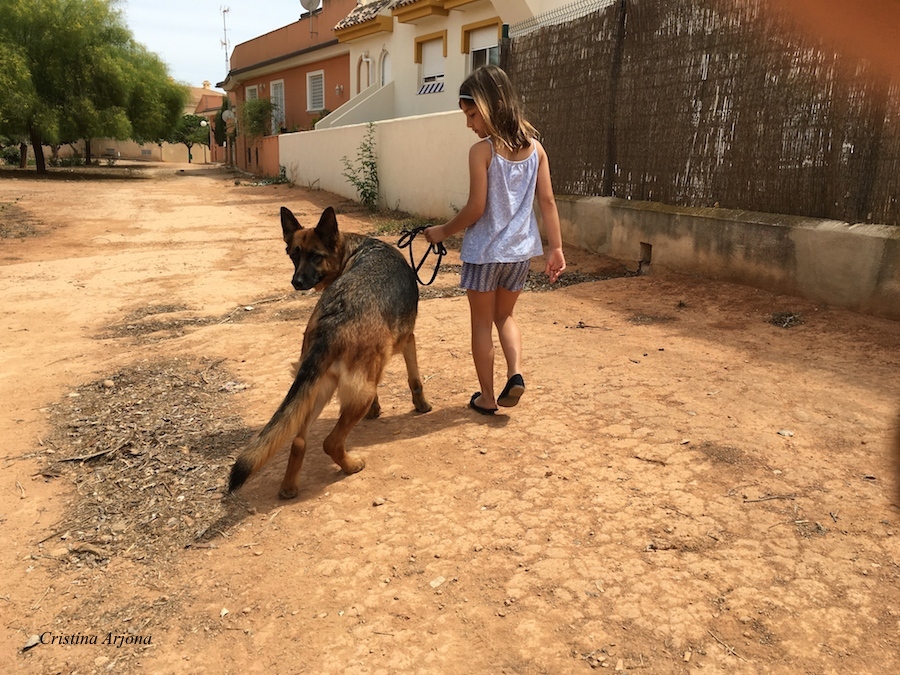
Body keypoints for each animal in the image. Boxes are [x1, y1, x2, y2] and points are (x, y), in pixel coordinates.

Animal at [229, 205, 432, 496]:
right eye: (294, 255)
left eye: (314, 256)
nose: (296, 281)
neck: (356, 248)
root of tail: (331, 322)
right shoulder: (409, 340)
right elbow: (415, 380)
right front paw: (422, 406)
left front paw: (377, 410)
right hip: (355, 394)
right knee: (330, 442)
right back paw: (351, 465)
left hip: (316, 388)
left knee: (299, 441)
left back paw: (289, 489)